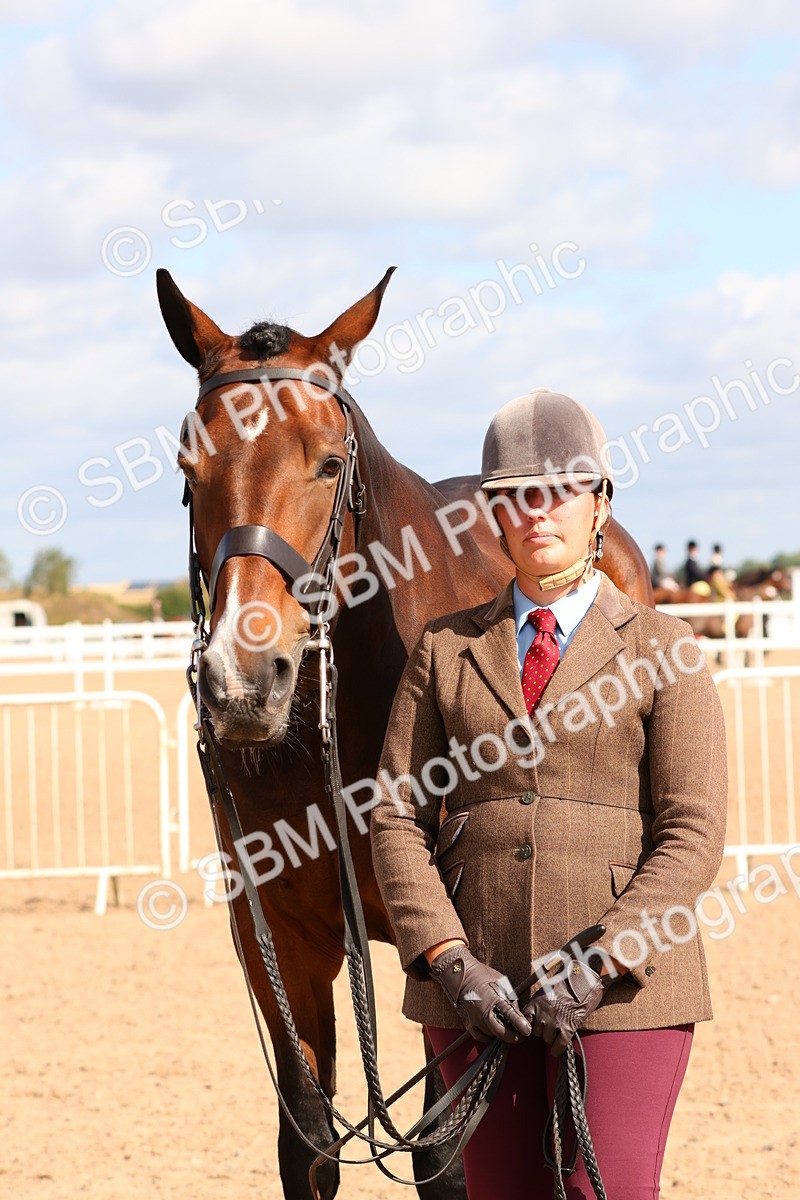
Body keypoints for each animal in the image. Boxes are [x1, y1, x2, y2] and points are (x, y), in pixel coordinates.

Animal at [157, 266, 654, 1200]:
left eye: (326, 462)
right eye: (187, 465)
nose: (244, 683)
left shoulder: (446, 942)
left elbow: (444, 1156)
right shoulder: (279, 940)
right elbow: (311, 1140)